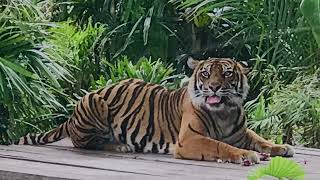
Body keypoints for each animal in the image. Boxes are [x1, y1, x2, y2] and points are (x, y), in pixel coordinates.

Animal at [15, 57, 296, 165]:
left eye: (226, 73)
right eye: (206, 73)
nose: (214, 87)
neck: (224, 111)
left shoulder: (240, 132)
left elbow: (260, 138)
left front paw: (281, 147)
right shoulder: (189, 139)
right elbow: (220, 146)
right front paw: (246, 155)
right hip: (95, 101)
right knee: (83, 143)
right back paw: (120, 146)